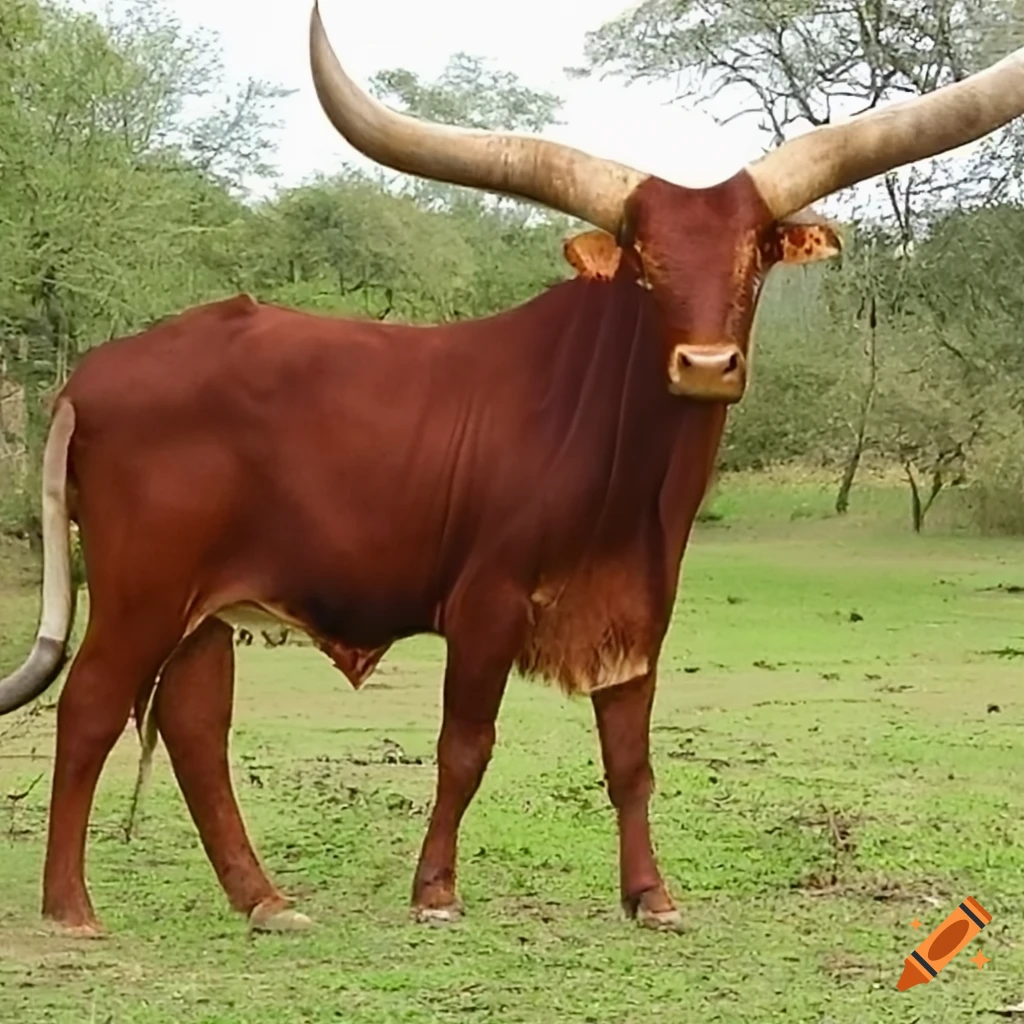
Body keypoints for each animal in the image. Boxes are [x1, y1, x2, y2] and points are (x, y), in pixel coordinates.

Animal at [1, 2, 1023, 938]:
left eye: (755, 254)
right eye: (646, 263)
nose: (705, 364)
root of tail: (93, 373)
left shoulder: (638, 611)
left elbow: (630, 758)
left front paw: (651, 896)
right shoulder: (485, 600)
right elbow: (465, 745)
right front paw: (436, 892)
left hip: (207, 605)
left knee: (191, 724)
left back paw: (265, 903)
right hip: (143, 586)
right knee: (91, 705)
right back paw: (71, 908)